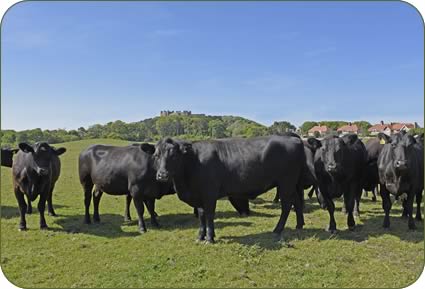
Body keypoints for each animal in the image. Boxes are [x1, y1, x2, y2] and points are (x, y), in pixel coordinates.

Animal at [147, 134, 306, 241]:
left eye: (174, 155)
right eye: (156, 155)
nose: (162, 175)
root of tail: (292, 138)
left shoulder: (209, 194)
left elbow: (209, 215)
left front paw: (210, 238)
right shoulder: (198, 196)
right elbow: (201, 215)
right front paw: (201, 236)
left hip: (286, 183)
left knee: (286, 205)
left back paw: (277, 229)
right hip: (290, 184)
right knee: (296, 201)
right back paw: (299, 225)